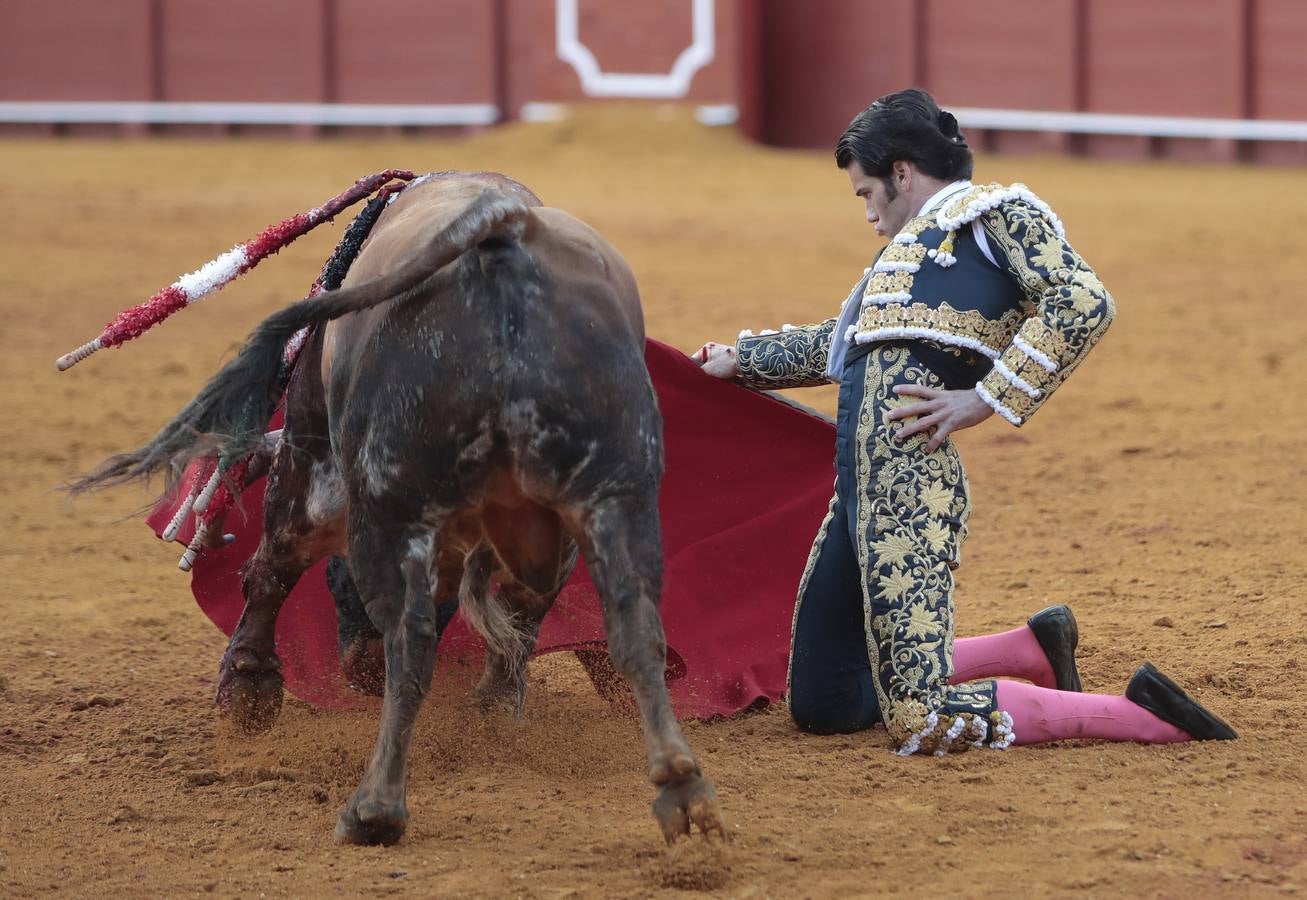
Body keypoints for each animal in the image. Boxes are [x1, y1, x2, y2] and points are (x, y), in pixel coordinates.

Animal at [76, 172, 726, 846]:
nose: (357, 670)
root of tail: (501, 231)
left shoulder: (312, 447)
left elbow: (272, 568)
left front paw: (247, 692)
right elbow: (521, 621)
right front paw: (494, 709)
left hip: (378, 497)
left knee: (400, 636)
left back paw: (374, 807)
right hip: (615, 494)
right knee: (635, 625)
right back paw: (680, 789)